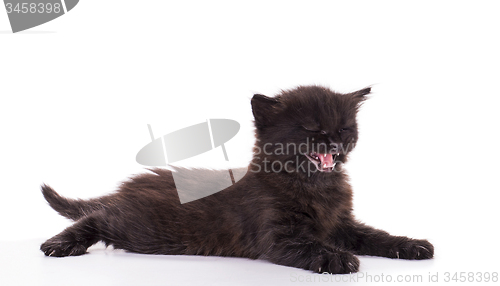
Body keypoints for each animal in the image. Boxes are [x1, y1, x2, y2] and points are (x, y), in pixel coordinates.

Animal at [41, 86, 432, 274]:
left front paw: (411, 245)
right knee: (97, 217)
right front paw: (337, 259)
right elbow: (309, 246)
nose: (334, 143)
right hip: (137, 228)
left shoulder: (343, 224)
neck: (313, 185)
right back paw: (60, 244)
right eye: (312, 129)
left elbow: (376, 235)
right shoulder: (278, 237)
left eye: (344, 129)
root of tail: (125, 188)